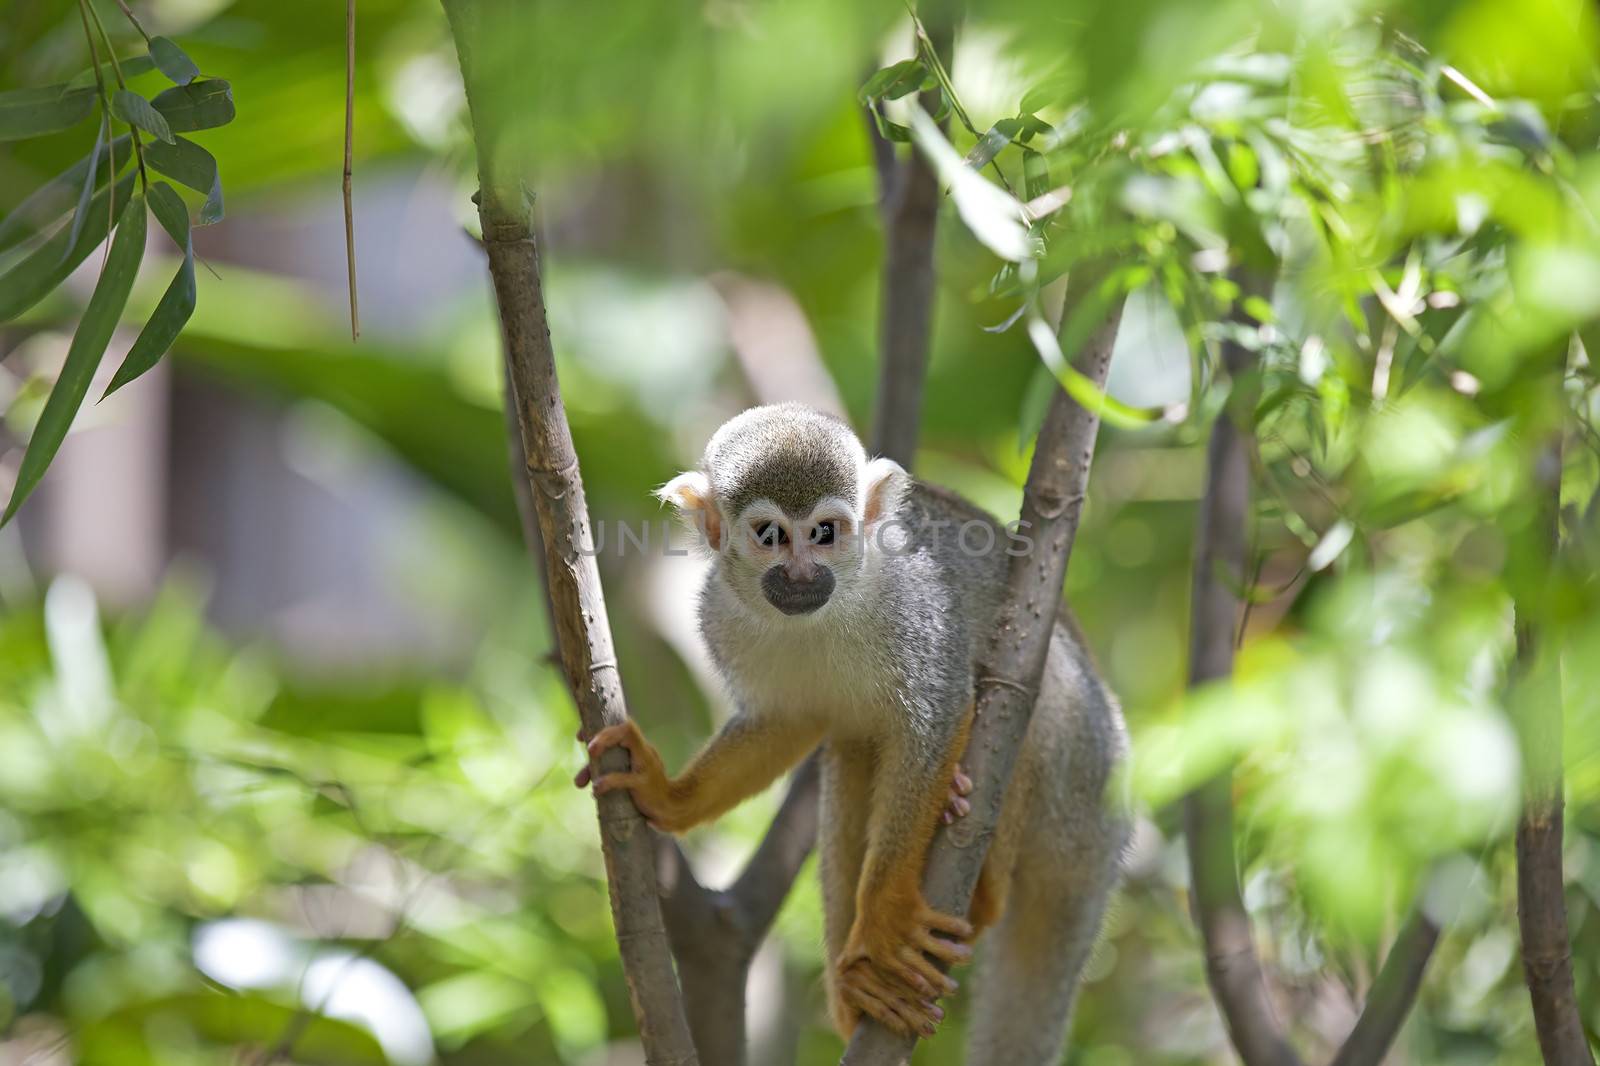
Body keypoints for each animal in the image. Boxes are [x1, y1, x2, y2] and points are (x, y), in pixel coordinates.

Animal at [576, 403, 1126, 1056]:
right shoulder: (719, 614)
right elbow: (786, 720)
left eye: (824, 533)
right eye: (771, 536)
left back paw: (982, 886)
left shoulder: (916, 605)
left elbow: (939, 714)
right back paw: (855, 998)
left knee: (1030, 698)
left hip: (1081, 763)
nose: (801, 574)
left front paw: (886, 915)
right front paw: (667, 794)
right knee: (849, 754)